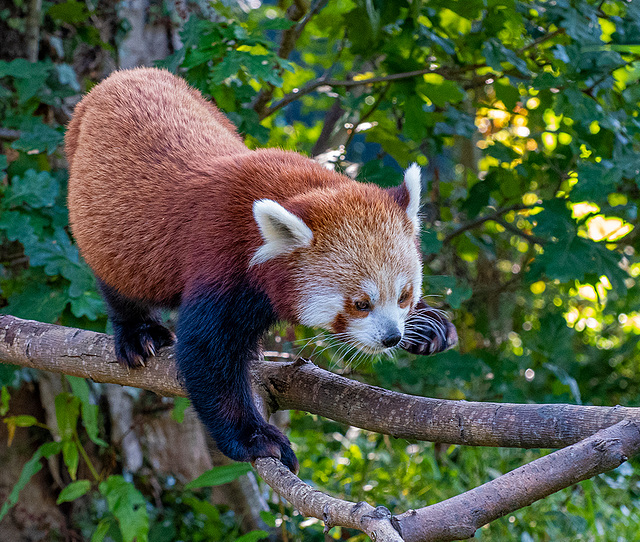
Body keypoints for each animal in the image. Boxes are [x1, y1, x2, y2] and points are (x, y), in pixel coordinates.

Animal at [63, 69, 456, 476]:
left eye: (404, 296)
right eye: (361, 304)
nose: (392, 337)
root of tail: (121, 76)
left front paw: (430, 327)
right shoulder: (221, 258)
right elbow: (207, 354)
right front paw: (254, 438)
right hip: (109, 235)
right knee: (120, 283)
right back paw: (138, 334)